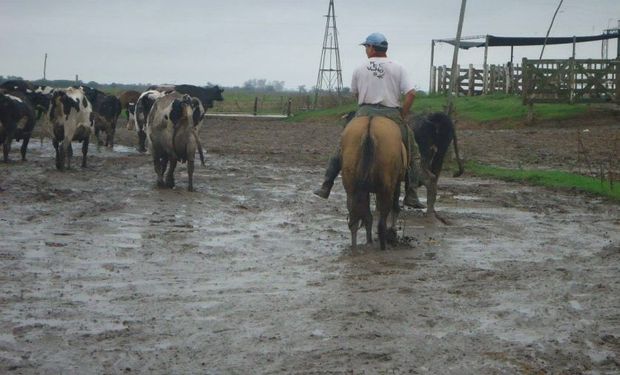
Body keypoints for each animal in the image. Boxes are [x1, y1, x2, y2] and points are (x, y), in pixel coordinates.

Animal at [340, 114, 406, 250]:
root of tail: (369, 128)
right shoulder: (395, 184)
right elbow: (394, 207)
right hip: (387, 186)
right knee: (383, 217)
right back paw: (383, 244)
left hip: (351, 186)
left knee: (355, 215)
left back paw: (356, 245)